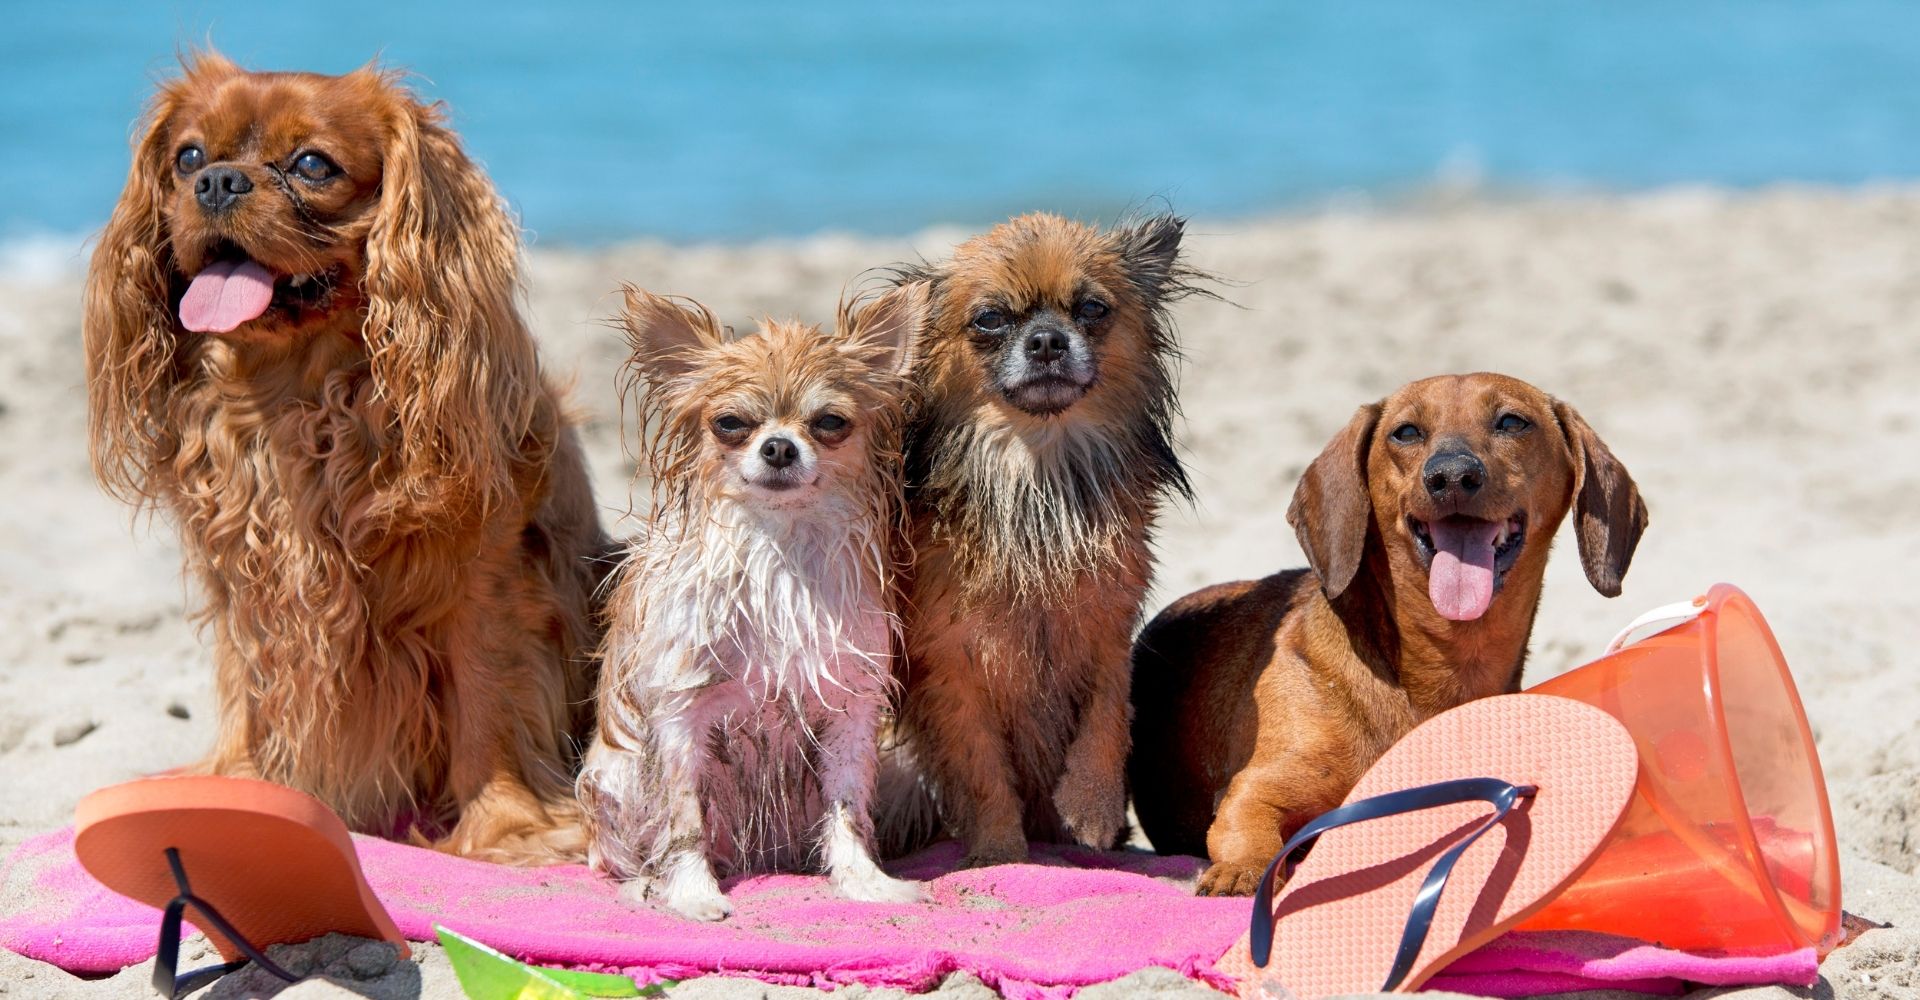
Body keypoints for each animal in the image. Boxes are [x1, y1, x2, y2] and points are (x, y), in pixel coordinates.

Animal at [82, 52, 608, 863]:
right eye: (189, 158)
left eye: (311, 165)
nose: (219, 181)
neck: (297, 394)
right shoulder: (247, 579)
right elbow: (250, 688)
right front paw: (238, 792)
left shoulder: (487, 578)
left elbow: (487, 703)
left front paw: (506, 828)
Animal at [577, 283, 929, 920]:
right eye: (730, 423)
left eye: (830, 422)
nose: (779, 446)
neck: (780, 550)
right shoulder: (680, 715)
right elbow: (682, 820)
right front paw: (691, 894)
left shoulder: (850, 710)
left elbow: (847, 809)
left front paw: (864, 882)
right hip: (613, 778)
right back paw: (645, 884)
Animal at [881, 213, 1206, 866]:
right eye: (989, 319)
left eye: (1092, 309)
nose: (1049, 340)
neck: (1037, 470)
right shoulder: (950, 666)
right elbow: (980, 766)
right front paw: (1000, 852)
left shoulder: (1109, 627)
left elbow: (1109, 716)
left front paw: (1093, 805)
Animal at [1129, 373, 1647, 895]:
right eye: (1406, 432)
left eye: (1512, 422)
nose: (1452, 476)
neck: (1439, 670)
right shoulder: (1252, 792)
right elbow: (1248, 832)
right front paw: (1242, 871)